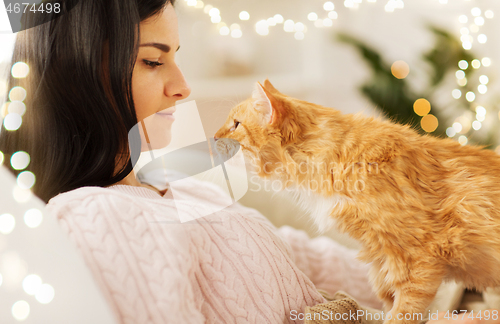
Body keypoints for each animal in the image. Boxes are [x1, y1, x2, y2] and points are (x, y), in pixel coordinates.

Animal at [215, 79, 500, 322]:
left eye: (236, 125)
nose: (215, 137)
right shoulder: (382, 261)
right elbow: (387, 304)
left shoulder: (418, 259)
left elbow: (402, 312)